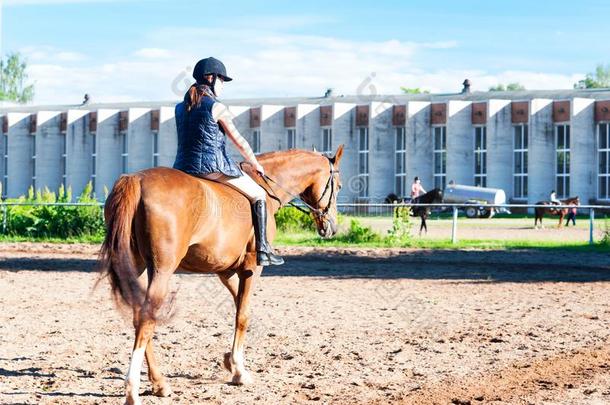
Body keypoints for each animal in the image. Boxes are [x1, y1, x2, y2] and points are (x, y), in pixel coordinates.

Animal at [100, 146, 342, 404]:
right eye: (337, 186)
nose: (331, 228)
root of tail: (136, 179)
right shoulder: (252, 267)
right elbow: (243, 315)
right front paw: (239, 371)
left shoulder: (225, 271)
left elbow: (240, 306)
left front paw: (230, 361)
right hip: (162, 269)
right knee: (146, 319)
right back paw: (133, 390)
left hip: (136, 266)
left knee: (138, 315)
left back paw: (159, 383)